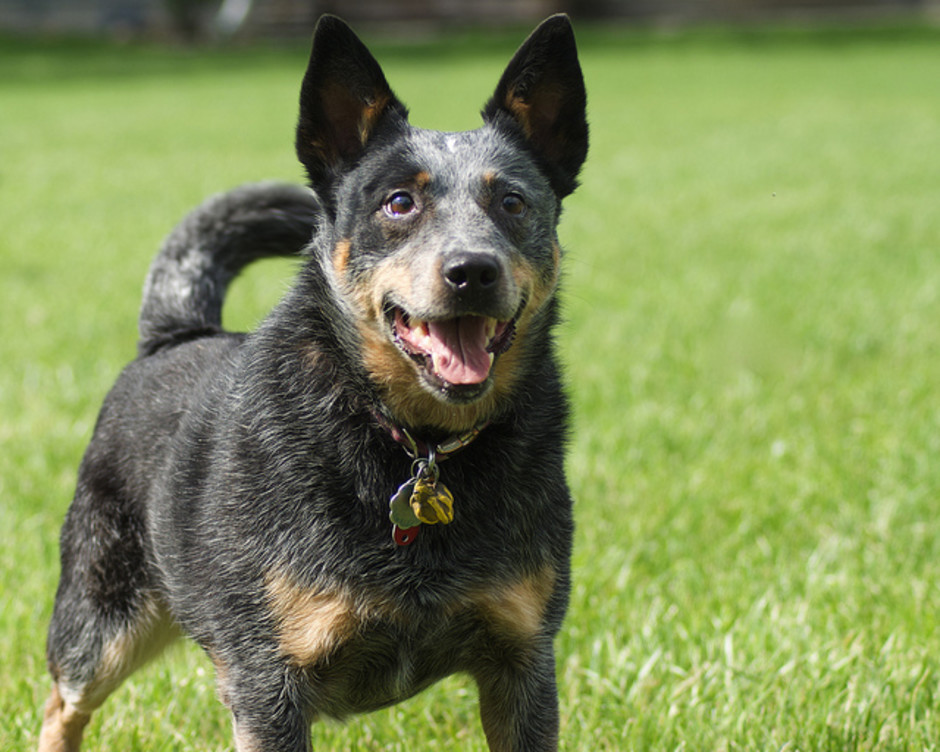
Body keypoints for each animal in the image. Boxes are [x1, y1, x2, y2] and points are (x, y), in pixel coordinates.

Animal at [42, 13, 588, 752]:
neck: (416, 444)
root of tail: (176, 332)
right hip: (101, 619)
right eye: (399, 202)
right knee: (62, 705)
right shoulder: (265, 679)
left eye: (511, 201)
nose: (472, 269)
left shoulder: (523, 657)